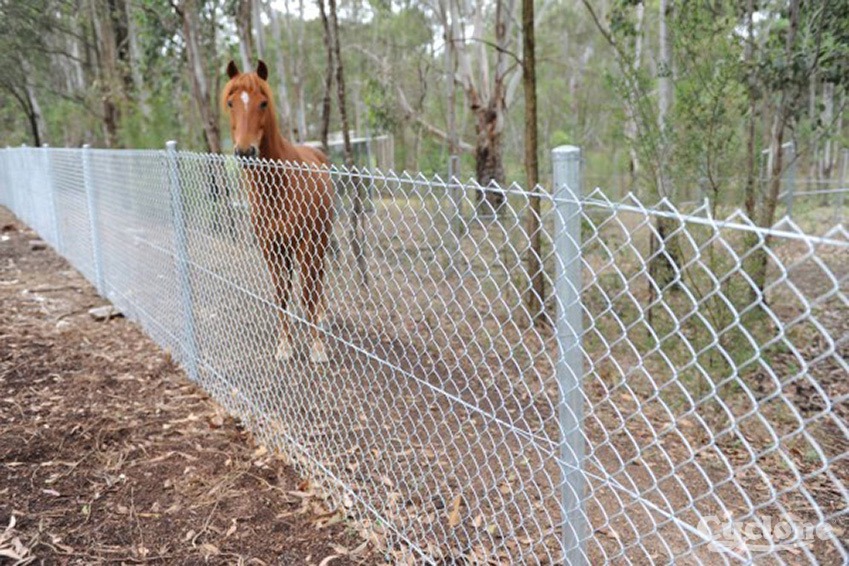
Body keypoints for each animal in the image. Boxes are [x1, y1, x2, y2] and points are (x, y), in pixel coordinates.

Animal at [222, 60, 334, 364]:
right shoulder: (270, 247)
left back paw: (320, 319)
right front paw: (285, 345)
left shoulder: (306, 243)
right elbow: (281, 293)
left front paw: (317, 347)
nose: (245, 152)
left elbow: (307, 292)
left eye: (263, 103)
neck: (278, 185)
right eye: (230, 103)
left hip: (319, 241)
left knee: (317, 280)